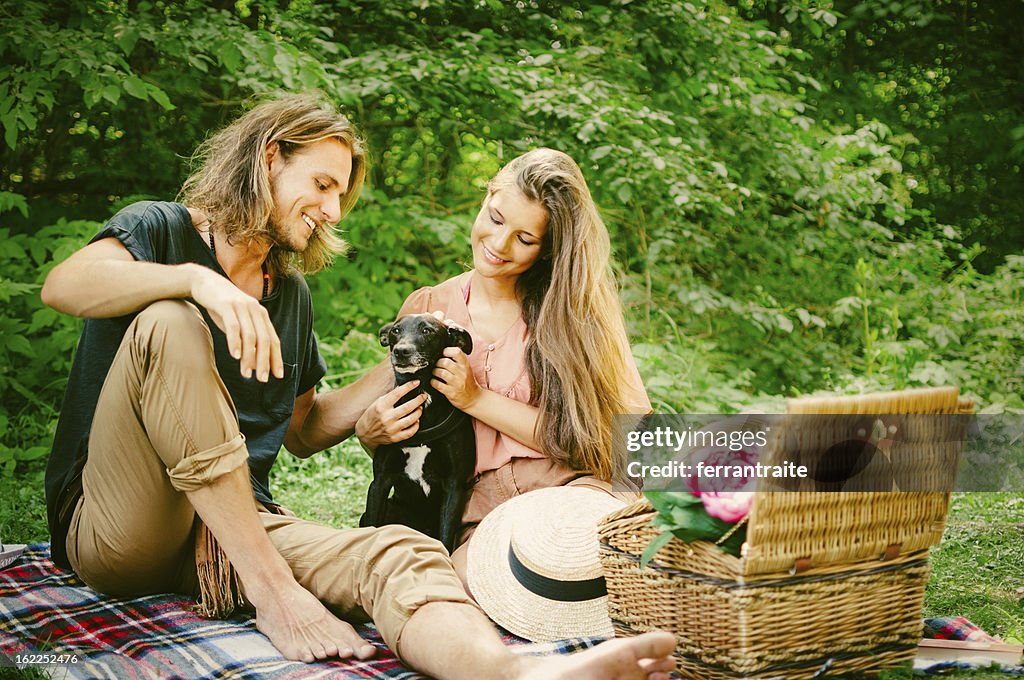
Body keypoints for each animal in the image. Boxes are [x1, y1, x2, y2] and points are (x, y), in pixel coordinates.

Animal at [358, 313, 477, 553]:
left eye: (426, 330)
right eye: (395, 331)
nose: (401, 351)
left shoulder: (454, 487)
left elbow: (445, 540)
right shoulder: (380, 482)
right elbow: (373, 528)